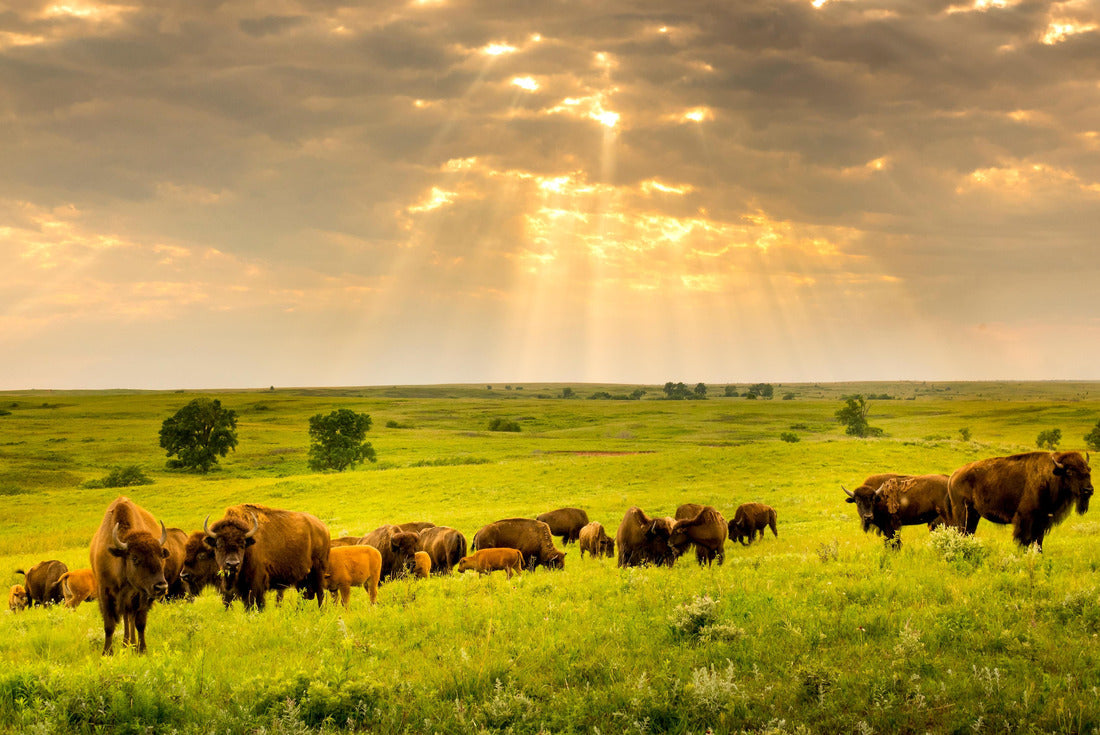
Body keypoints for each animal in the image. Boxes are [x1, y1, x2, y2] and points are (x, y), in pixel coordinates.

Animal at [90, 496, 169, 654]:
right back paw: (126, 643)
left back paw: (131, 643)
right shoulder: (104, 591)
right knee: (127, 619)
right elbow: (109, 625)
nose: (161, 587)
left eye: (160, 555)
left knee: (130, 619)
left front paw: (141, 649)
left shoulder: (142, 595)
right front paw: (107, 652)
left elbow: (140, 623)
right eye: (134, 558)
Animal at [948, 451, 1093, 550]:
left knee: (969, 532)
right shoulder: (1025, 519)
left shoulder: (1042, 521)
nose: (1088, 490)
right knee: (962, 531)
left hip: (974, 515)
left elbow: (1038, 542)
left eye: (1088, 470)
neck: (1051, 475)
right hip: (963, 513)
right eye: (1070, 472)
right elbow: (1024, 541)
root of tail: (954, 475)